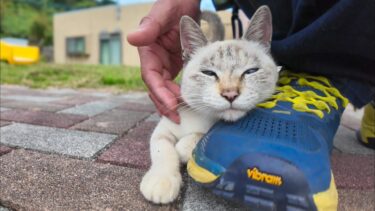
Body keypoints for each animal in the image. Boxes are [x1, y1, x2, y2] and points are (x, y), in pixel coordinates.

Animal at [140, 5, 280, 204]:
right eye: (208, 73)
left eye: (250, 71)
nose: (230, 94)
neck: (203, 118)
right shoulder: (165, 127)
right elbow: (163, 150)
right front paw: (161, 181)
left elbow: (197, 137)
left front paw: (184, 147)